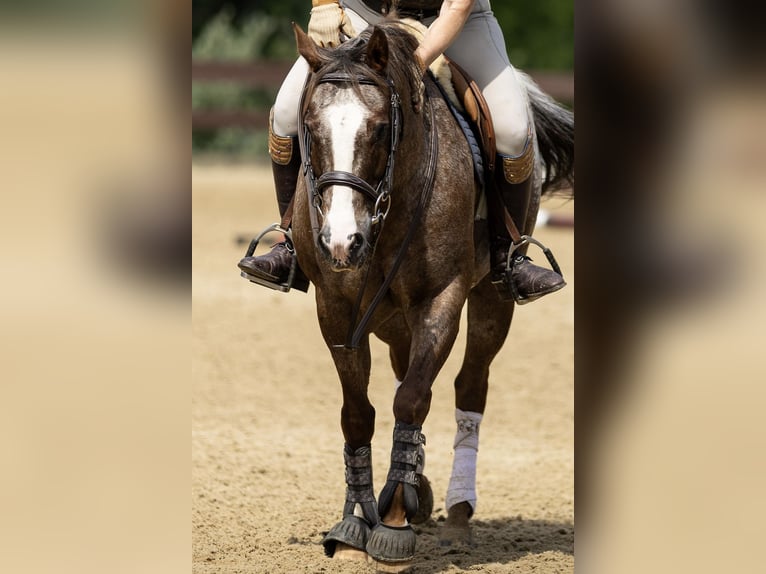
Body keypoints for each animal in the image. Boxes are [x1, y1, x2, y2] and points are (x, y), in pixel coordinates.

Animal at [288, 19, 573, 570]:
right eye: (309, 128)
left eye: (381, 129)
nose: (341, 242)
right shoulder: (334, 307)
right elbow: (359, 412)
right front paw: (357, 522)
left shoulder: (442, 300)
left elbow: (413, 399)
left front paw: (394, 528)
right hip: (392, 320)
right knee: (405, 371)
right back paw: (415, 489)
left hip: (491, 299)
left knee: (469, 387)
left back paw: (457, 512)